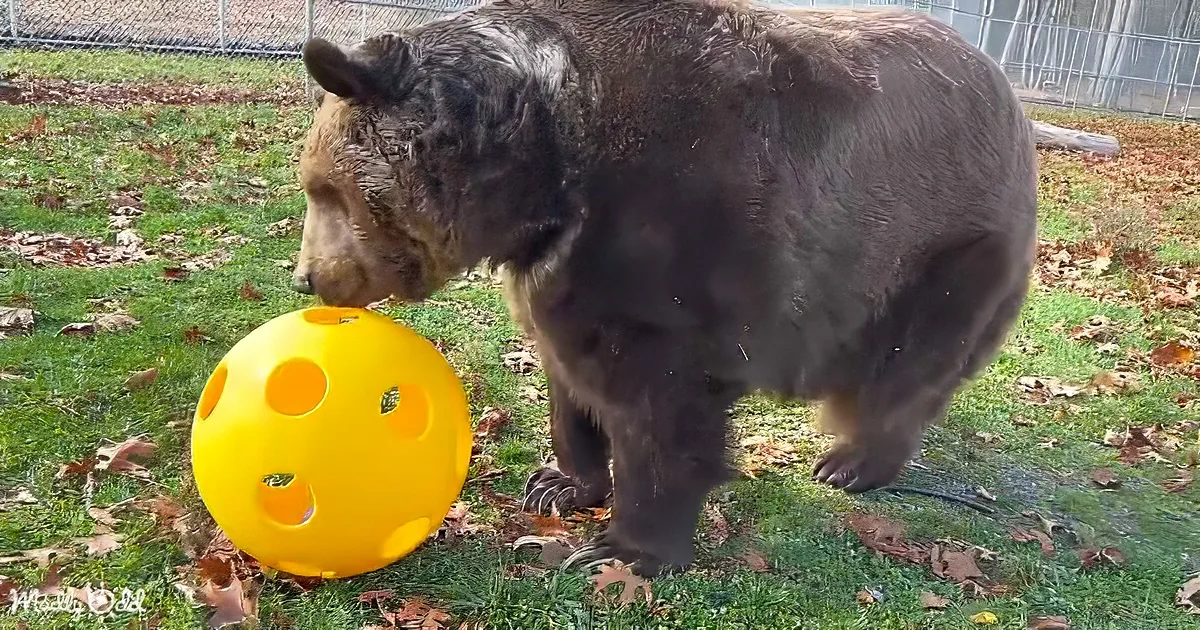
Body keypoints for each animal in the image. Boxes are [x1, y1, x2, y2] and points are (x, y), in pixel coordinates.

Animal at [292, 0, 1038, 578]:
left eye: (325, 191)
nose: (307, 278)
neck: (543, 170)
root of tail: (1009, 96)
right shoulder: (561, 270)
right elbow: (571, 374)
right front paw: (556, 484)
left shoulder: (668, 227)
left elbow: (661, 404)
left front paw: (622, 547)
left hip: (936, 246)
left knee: (906, 369)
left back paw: (850, 463)